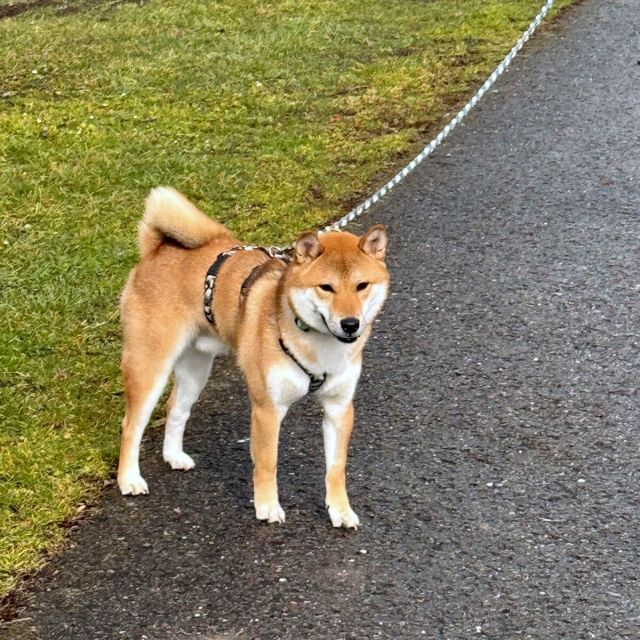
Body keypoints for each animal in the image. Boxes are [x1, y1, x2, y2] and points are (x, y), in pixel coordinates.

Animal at [117, 188, 390, 528]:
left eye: (361, 285)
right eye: (326, 287)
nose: (351, 323)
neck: (318, 346)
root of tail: (157, 249)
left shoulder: (339, 408)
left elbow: (336, 468)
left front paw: (340, 511)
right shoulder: (267, 409)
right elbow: (267, 462)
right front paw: (267, 507)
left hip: (196, 370)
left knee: (176, 409)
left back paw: (174, 456)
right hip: (150, 365)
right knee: (131, 425)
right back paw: (129, 479)